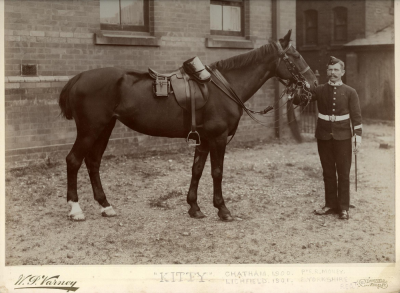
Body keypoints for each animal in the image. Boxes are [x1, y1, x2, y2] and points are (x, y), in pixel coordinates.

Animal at [58, 30, 316, 221]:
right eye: (295, 56)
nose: (313, 83)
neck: (225, 87)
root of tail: (78, 78)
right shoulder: (218, 138)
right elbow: (217, 172)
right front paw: (222, 209)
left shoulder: (204, 139)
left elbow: (197, 170)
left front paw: (194, 207)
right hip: (90, 130)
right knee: (73, 160)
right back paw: (75, 209)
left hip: (105, 128)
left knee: (93, 162)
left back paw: (105, 205)